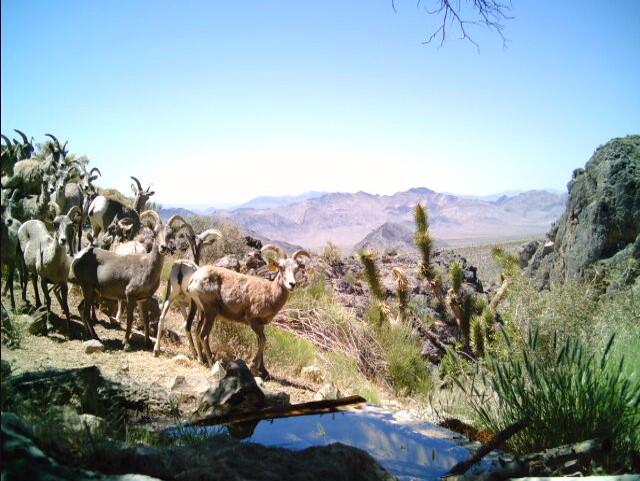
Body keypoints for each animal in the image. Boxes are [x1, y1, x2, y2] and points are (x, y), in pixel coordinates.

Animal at [71, 210, 178, 349]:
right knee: (85, 312)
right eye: (155, 233)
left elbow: (146, 319)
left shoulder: (143, 299)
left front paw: (148, 342)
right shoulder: (130, 295)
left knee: (80, 308)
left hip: (93, 291)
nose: (163, 247)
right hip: (87, 288)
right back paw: (96, 337)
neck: (146, 267)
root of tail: (77, 259)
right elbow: (129, 319)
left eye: (170, 234)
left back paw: (88, 334)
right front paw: (126, 344)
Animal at [153, 220, 223, 358]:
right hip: (193, 302)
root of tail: (181, 267)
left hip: (170, 297)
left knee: (162, 318)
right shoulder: (198, 307)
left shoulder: (181, 304)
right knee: (188, 326)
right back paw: (197, 354)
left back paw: (156, 350)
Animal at [187, 244, 310, 377]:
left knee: (196, 331)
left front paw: (264, 371)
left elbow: (259, 341)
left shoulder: (260, 325)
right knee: (204, 335)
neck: (270, 293)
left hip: (201, 312)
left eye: (296, 269)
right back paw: (212, 362)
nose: (292, 284)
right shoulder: (253, 321)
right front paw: (253, 367)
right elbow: (263, 340)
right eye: (281, 267)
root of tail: (194, 279)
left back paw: (201, 360)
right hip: (210, 313)